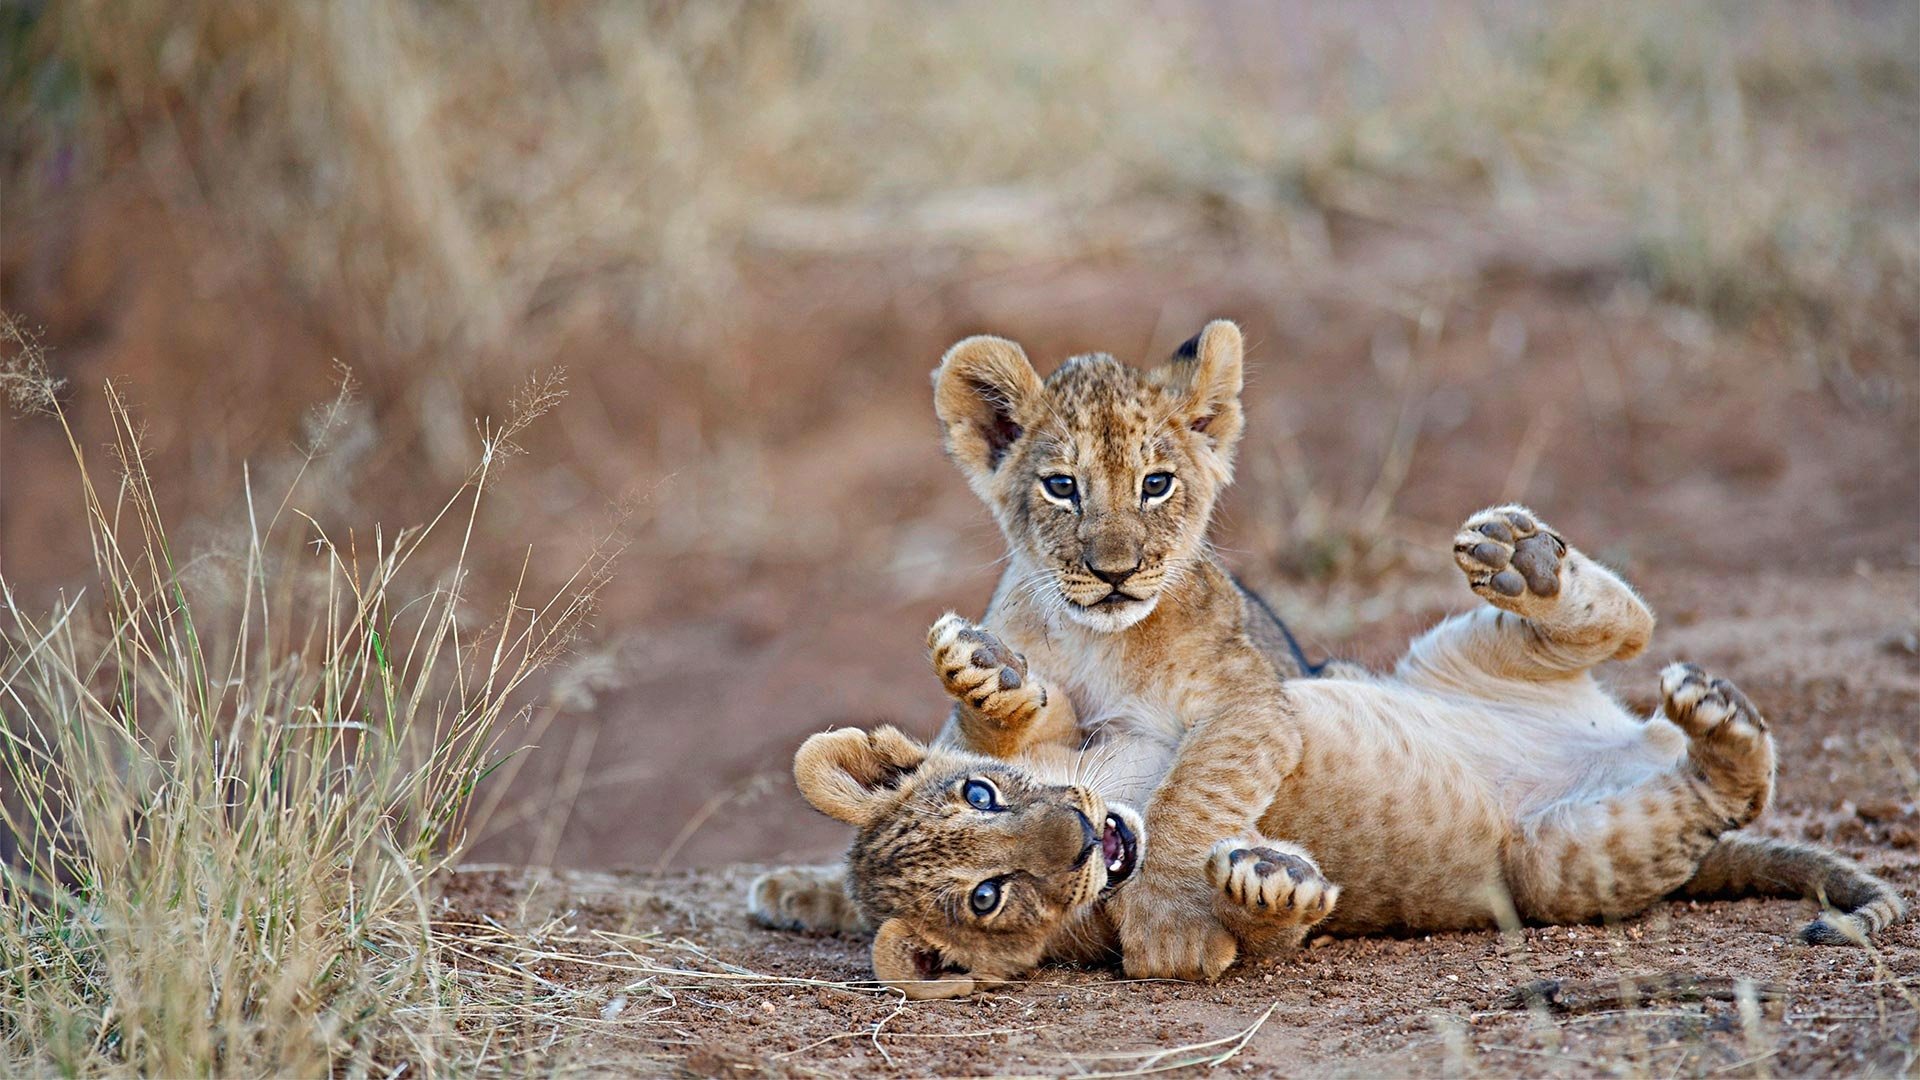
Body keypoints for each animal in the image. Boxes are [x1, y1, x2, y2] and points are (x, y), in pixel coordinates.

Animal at [748, 322, 1905, 997]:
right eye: (1061, 487)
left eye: (1158, 483)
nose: (1116, 572)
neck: (1099, 642)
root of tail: (1617, 738)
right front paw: (1213, 908)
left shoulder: (1245, 703)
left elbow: (1180, 789)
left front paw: (983, 676)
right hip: (1559, 858)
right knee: (1719, 779)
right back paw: (1713, 722)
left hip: (1420, 659)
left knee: (1622, 627)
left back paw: (1526, 564)